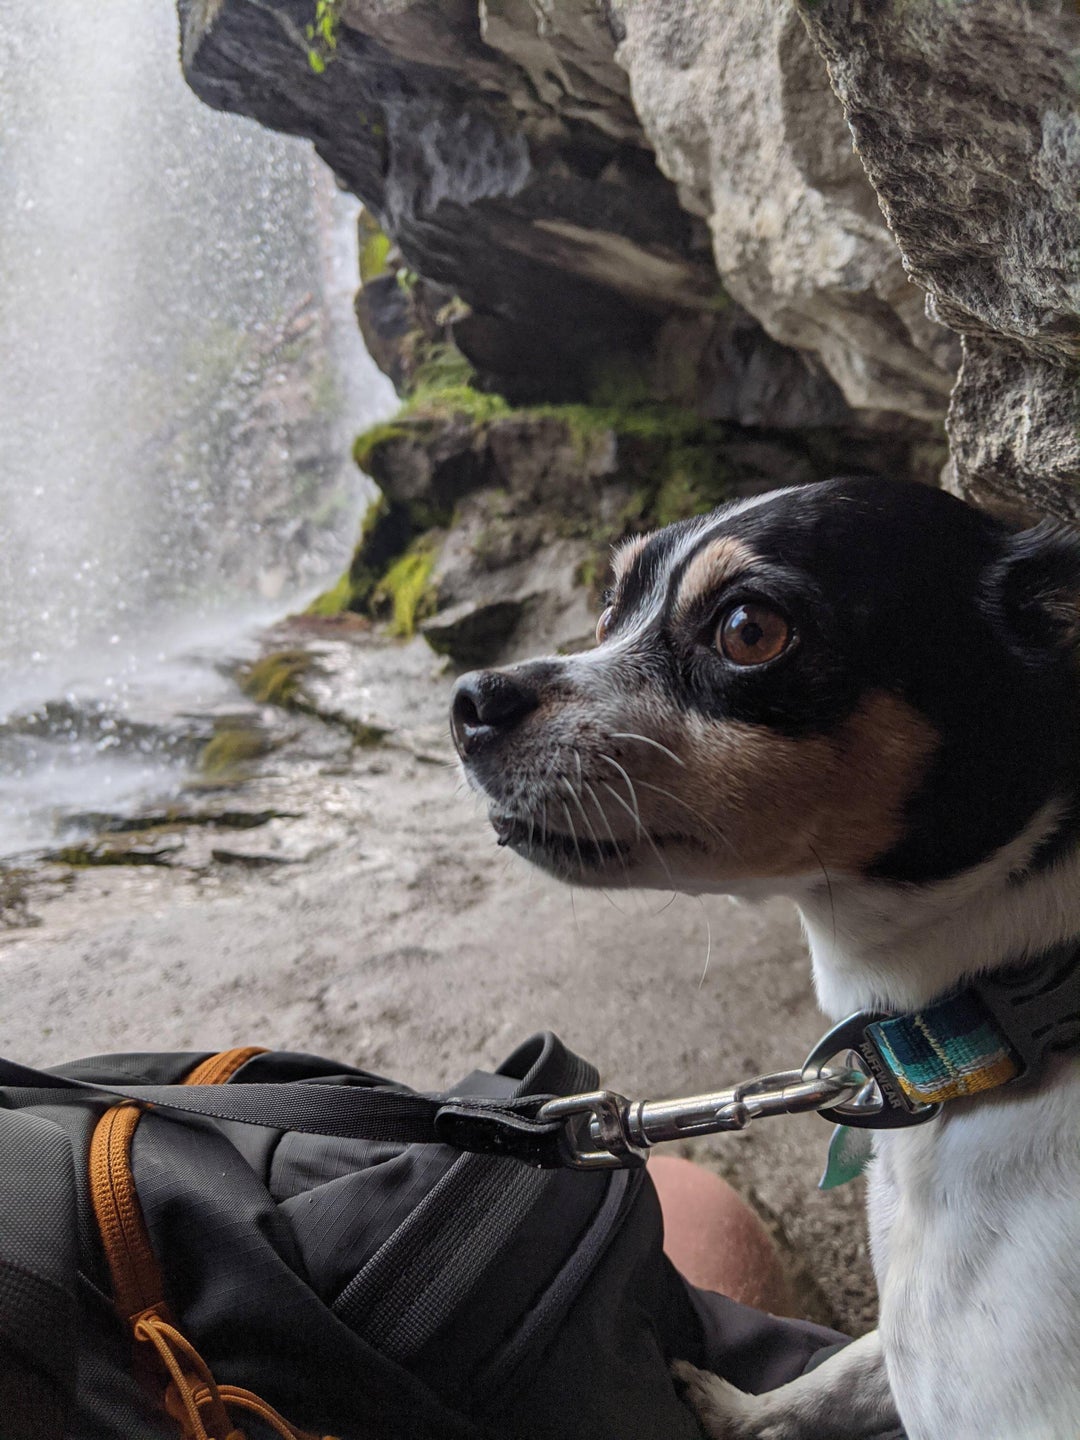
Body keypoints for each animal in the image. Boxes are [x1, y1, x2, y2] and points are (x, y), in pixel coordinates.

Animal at [452, 480, 1080, 1440]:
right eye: (609, 608)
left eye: (750, 630)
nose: (468, 698)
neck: (986, 1031)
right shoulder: (897, 1350)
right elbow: (834, 1373)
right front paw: (738, 1408)